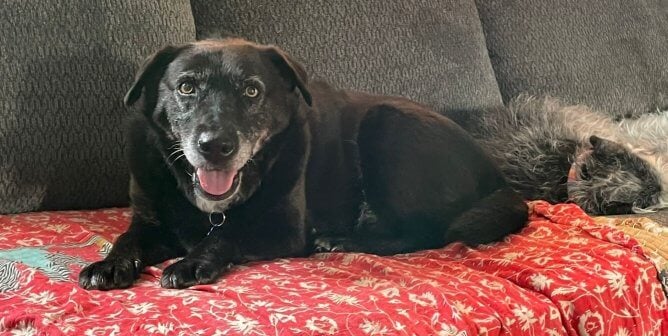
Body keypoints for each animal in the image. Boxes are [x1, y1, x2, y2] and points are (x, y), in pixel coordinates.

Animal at [78, 38, 528, 290]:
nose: (215, 146)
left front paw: (191, 262)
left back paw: (343, 241)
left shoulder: (282, 229)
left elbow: (226, 235)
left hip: (387, 126)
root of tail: (497, 175)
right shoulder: (149, 222)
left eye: (252, 91)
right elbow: (127, 240)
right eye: (186, 87)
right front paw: (108, 264)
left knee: (426, 233)